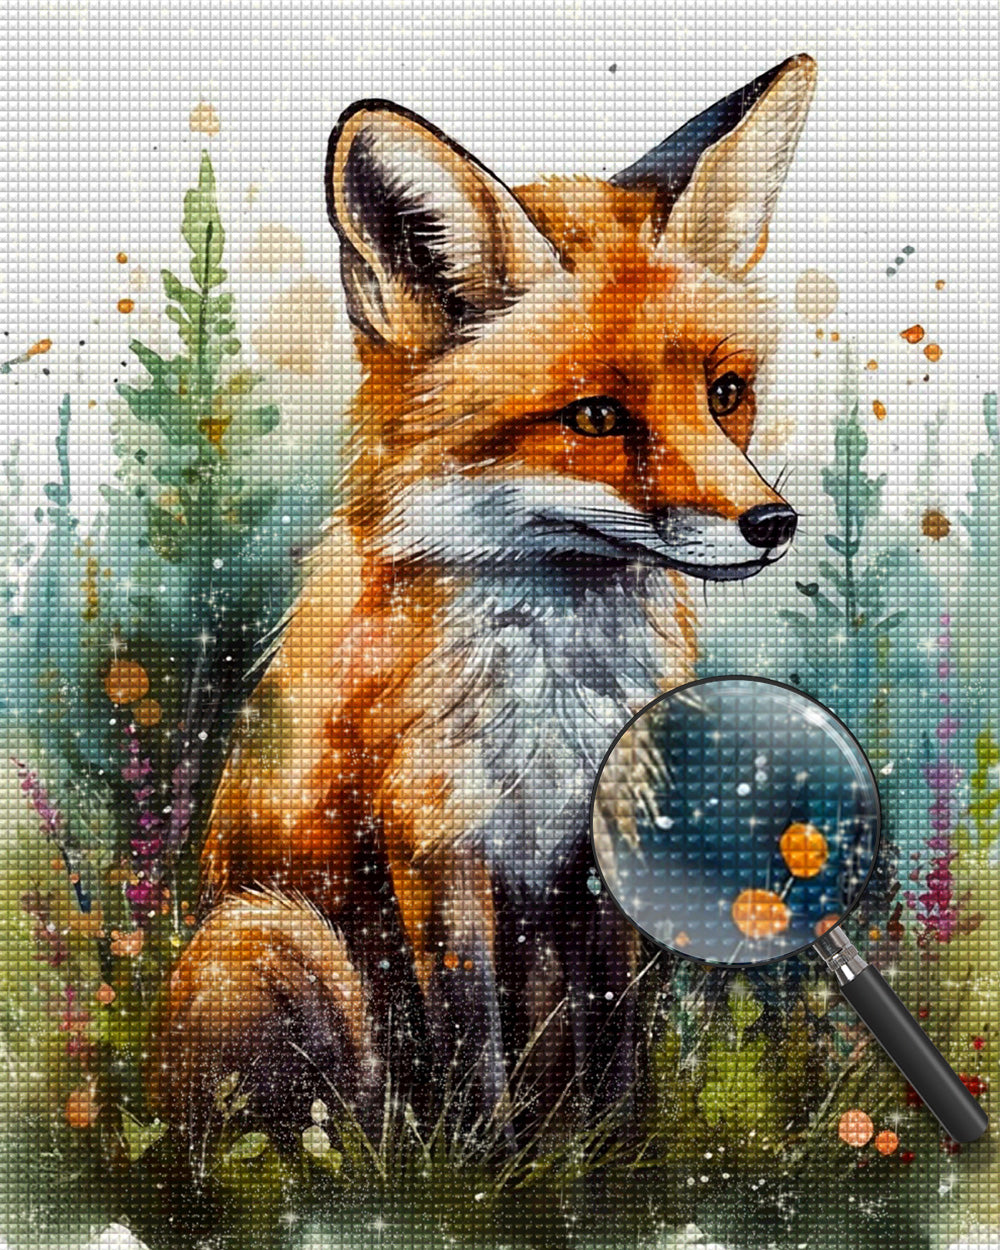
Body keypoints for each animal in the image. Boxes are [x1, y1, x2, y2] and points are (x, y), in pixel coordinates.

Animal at [148, 54, 817, 1150]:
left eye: (725, 393)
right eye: (596, 416)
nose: (773, 521)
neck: (557, 691)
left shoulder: (603, 846)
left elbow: (616, 1030)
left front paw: (616, 1158)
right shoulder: (436, 840)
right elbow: (470, 1044)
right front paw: (486, 1170)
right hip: (272, 937)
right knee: (306, 1136)